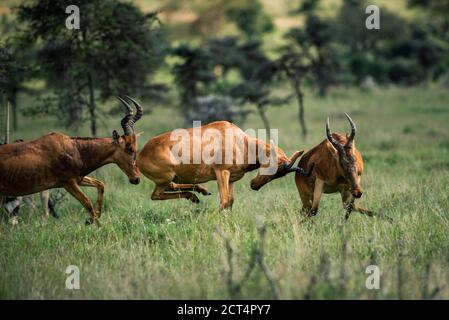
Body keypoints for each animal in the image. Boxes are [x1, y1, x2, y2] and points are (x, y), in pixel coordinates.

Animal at [0, 95, 142, 225]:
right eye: (130, 148)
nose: (136, 179)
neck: (74, 148)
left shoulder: (78, 179)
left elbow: (100, 184)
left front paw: (90, 220)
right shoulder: (68, 183)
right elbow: (87, 203)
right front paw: (98, 225)